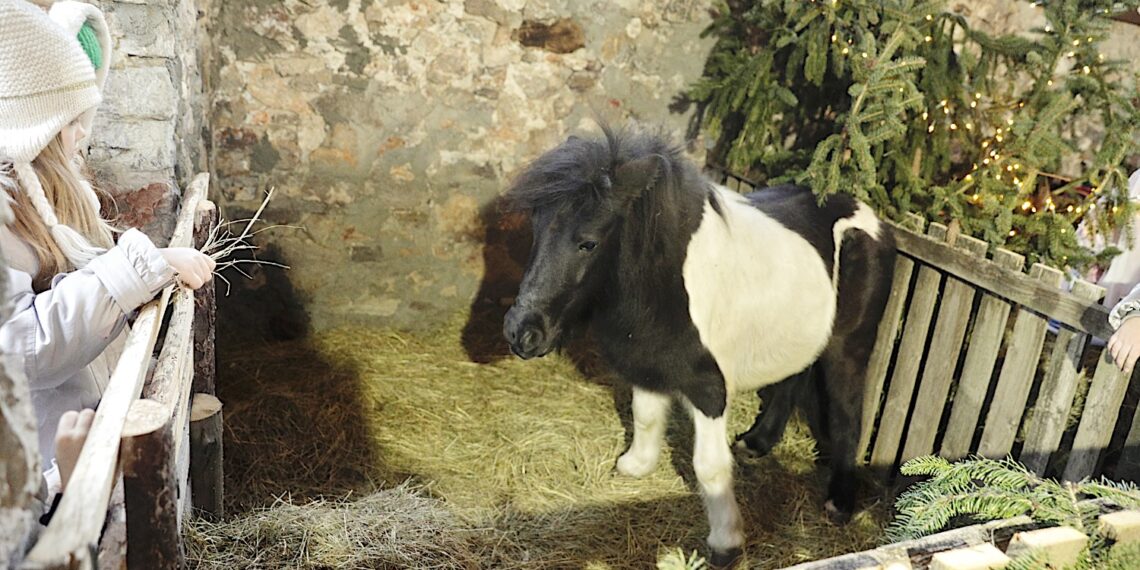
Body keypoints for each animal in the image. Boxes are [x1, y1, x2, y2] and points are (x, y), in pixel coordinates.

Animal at [503, 127, 893, 563]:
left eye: (587, 242)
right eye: (536, 229)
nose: (521, 334)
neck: (667, 282)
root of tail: (872, 218)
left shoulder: (709, 389)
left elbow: (709, 467)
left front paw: (726, 544)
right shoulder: (649, 365)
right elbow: (645, 416)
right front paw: (636, 465)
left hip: (849, 346)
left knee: (847, 410)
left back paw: (840, 501)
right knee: (796, 374)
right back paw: (757, 443)